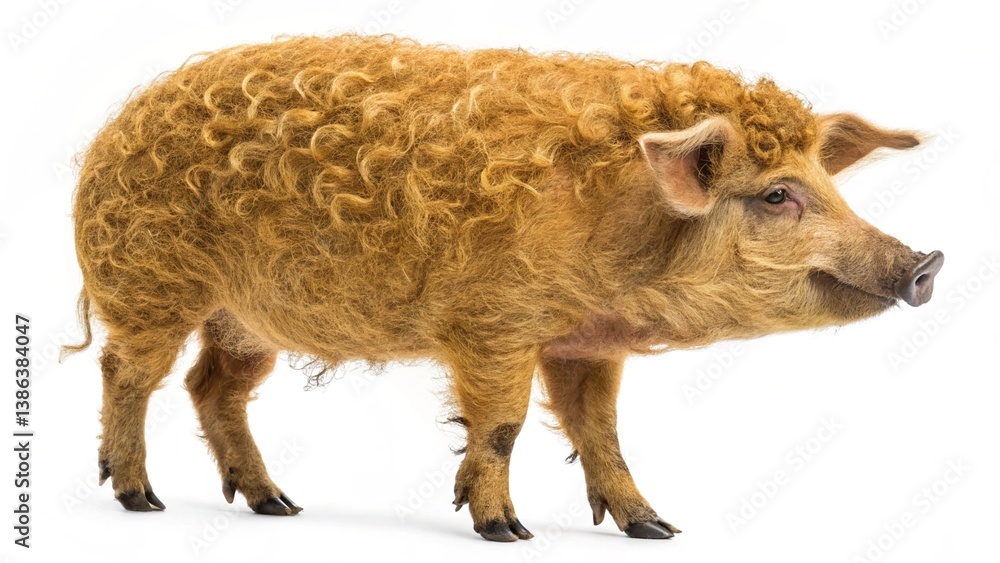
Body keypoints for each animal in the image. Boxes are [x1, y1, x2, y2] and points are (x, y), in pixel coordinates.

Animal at [64, 34, 943, 541]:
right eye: (776, 195)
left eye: (825, 183)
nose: (926, 262)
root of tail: (110, 132)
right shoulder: (493, 326)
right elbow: (501, 426)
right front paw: (506, 530)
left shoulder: (586, 342)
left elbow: (601, 429)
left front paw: (655, 526)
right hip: (152, 287)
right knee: (128, 373)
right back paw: (141, 498)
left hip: (243, 318)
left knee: (211, 384)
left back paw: (279, 505)